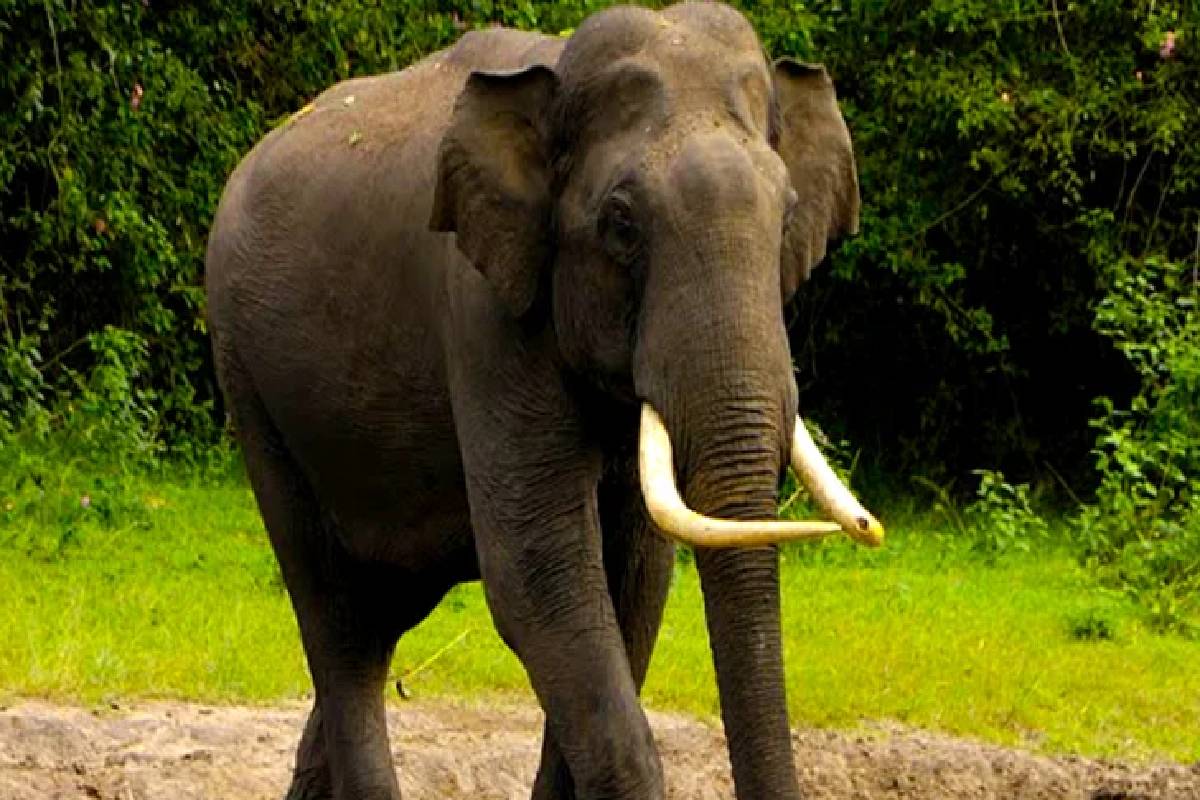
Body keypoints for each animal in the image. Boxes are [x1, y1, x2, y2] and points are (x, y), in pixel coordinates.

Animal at [204, 3, 882, 799]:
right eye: (621, 224)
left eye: (789, 214)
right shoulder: (484, 313)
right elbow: (540, 577)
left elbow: (635, 586)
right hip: (248, 378)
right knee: (339, 624)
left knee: (382, 610)